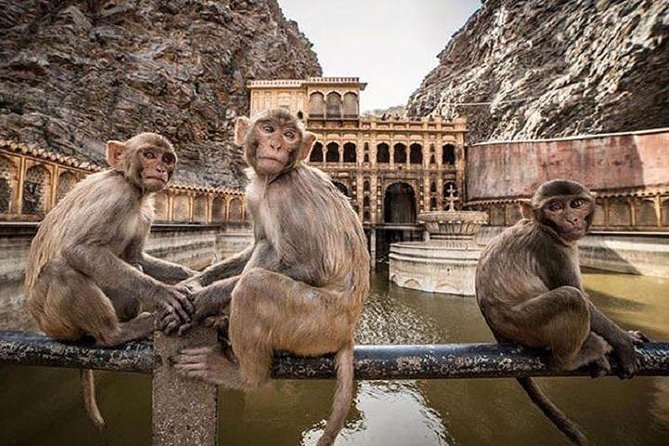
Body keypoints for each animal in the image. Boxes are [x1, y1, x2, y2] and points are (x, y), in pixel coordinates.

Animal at [24, 132, 196, 428]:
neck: (134, 188)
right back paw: (118, 332)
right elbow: (79, 249)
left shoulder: (146, 212)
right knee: (61, 269)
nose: (160, 169)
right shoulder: (116, 197)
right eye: (149, 155)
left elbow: (137, 256)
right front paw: (163, 293)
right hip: (55, 322)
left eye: (167, 159)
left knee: (132, 264)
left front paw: (190, 275)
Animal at [172, 109, 370, 446]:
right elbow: (255, 245)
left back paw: (244, 375)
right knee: (264, 250)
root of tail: (347, 332)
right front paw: (194, 283)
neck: (271, 179)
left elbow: (310, 266)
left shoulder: (289, 192)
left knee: (254, 285)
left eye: (289, 136)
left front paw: (200, 300)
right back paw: (222, 323)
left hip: (315, 322)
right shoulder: (254, 197)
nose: (276, 145)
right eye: (268, 129)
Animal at [475, 179, 648, 445]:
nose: (572, 219)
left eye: (576, 204)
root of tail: (497, 332)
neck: (544, 228)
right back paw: (575, 357)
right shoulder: (552, 249)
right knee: (571, 299)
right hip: (525, 325)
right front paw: (624, 341)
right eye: (555, 207)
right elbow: (582, 298)